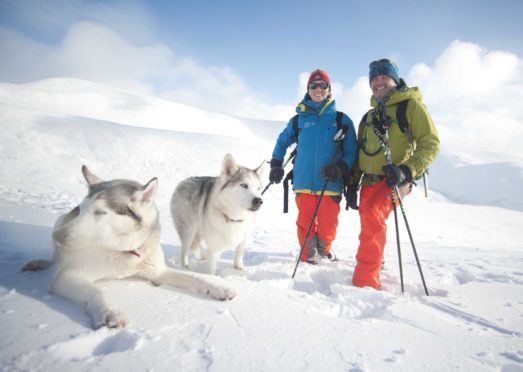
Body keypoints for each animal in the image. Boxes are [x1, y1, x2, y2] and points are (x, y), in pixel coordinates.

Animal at [22, 166, 235, 328]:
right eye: (81, 210)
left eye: (100, 212)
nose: (58, 236)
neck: (127, 252)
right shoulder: (68, 276)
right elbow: (95, 291)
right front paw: (109, 312)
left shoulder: (158, 272)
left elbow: (195, 277)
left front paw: (217, 287)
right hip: (60, 222)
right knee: (55, 258)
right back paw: (40, 263)